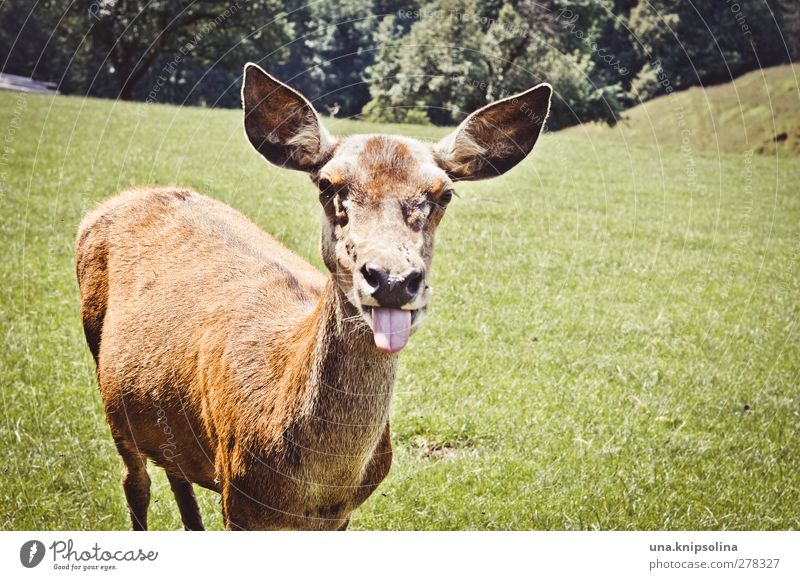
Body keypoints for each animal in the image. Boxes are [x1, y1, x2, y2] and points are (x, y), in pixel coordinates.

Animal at [76, 63, 552, 532]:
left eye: (444, 193)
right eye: (327, 185)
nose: (392, 279)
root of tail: (115, 200)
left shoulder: (339, 516)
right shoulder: (238, 497)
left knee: (175, 470)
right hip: (108, 387)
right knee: (135, 480)